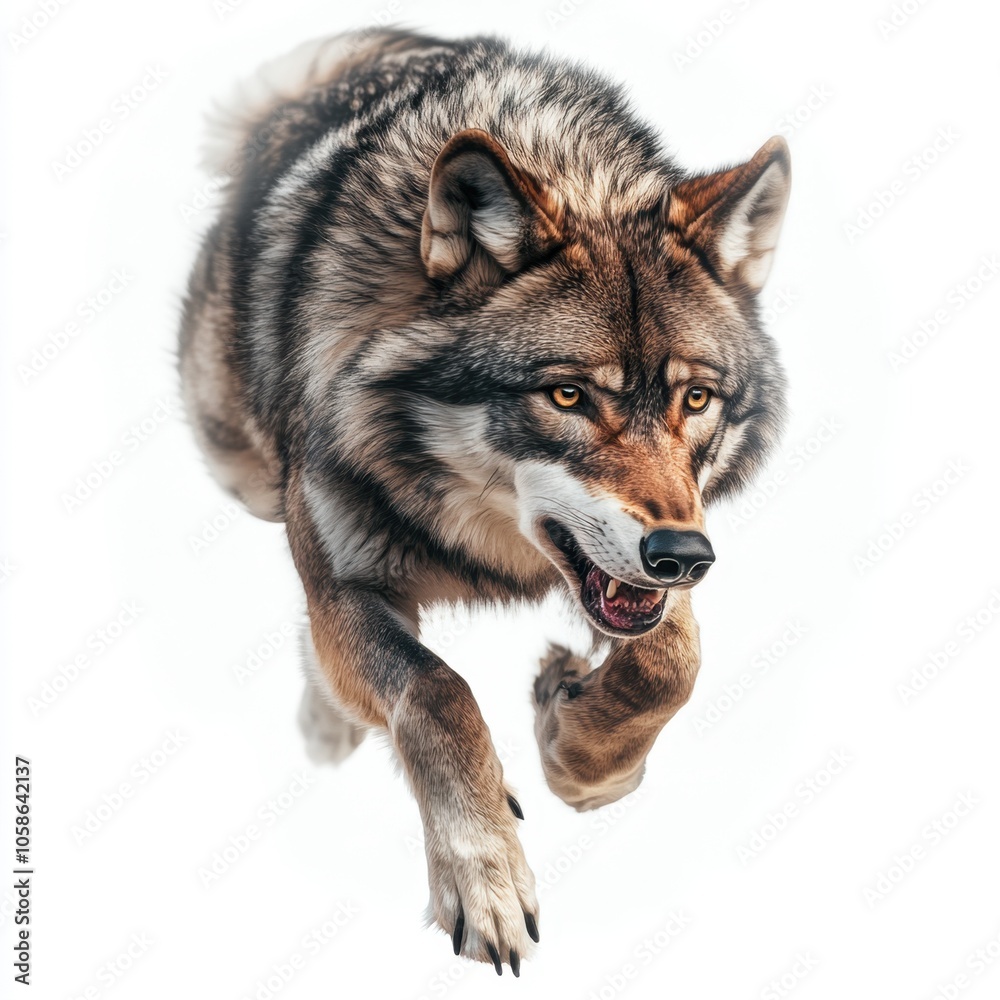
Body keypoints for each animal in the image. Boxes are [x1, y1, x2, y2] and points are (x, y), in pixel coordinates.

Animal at [178, 28, 791, 976]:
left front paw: (582, 758)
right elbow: (435, 691)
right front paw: (485, 878)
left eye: (695, 399)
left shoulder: (656, 568)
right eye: (568, 395)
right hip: (240, 468)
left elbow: (670, 663)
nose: (683, 557)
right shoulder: (348, 581)